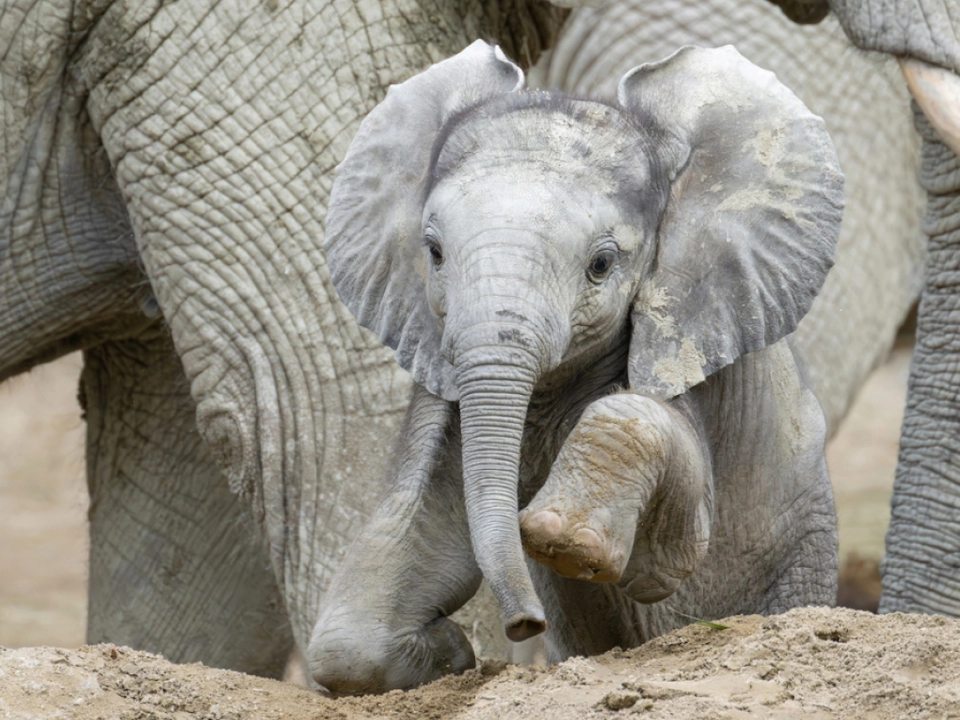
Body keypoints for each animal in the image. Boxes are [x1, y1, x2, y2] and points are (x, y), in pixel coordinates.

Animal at [308, 41, 845, 694]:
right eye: (433, 253)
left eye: (601, 265)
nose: (525, 626)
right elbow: (360, 625)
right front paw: (453, 657)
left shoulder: (686, 333)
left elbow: (670, 545)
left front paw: (563, 540)